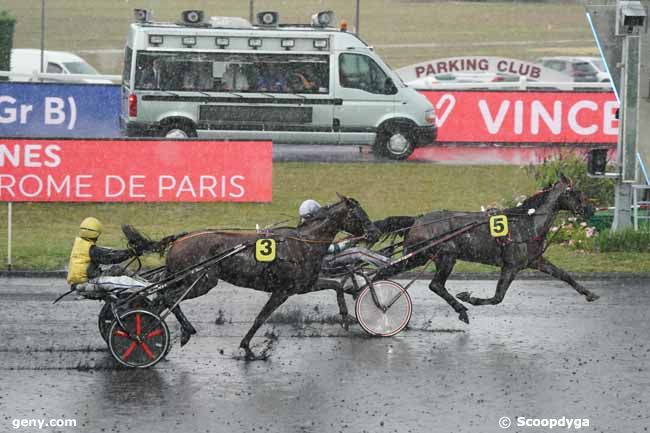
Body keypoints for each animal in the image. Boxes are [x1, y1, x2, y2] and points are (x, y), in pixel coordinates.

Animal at [152, 195, 378, 358]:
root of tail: (177, 242)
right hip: (203, 281)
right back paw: (186, 331)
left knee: (161, 299)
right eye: (359, 215)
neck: (304, 243)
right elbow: (260, 318)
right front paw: (248, 348)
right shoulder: (283, 291)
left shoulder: (305, 285)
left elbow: (336, 286)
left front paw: (345, 317)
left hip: (184, 279)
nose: (374, 233)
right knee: (169, 298)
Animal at [370, 176, 596, 324]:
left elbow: (564, 275)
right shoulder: (511, 266)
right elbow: (498, 297)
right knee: (435, 285)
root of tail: (417, 220)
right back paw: (461, 309)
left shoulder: (534, 261)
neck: (528, 223)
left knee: (385, 273)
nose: (591, 209)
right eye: (576, 192)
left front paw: (589, 293)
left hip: (418, 257)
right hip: (444, 256)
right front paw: (469, 298)